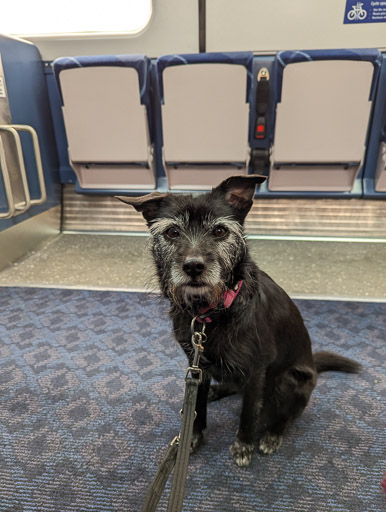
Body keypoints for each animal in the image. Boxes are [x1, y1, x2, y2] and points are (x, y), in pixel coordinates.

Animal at [116, 176, 360, 468]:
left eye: (220, 231)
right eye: (172, 232)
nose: (193, 266)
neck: (211, 313)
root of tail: (312, 363)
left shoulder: (256, 370)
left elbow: (248, 413)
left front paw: (244, 445)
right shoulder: (196, 365)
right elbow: (198, 405)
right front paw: (192, 437)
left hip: (291, 380)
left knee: (285, 415)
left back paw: (272, 435)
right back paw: (216, 391)